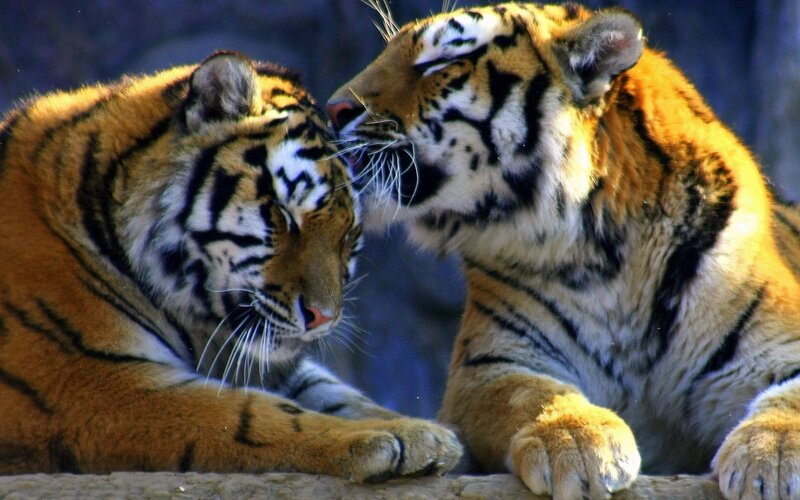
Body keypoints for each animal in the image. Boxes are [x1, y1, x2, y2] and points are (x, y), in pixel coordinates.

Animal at [0, 50, 462, 479]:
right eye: (283, 215)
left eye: (348, 235)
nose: (323, 319)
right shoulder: (91, 382)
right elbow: (251, 416)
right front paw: (397, 437)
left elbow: (338, 394)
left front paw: (426, 431)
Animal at [327, 2, 800, 498]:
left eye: (439, 63)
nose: (334, 109)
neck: (605, 248)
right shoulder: (489, 365)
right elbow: (532, 395)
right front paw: (577, 443)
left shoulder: (775, 345)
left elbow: (789, 400)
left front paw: (772, 460)